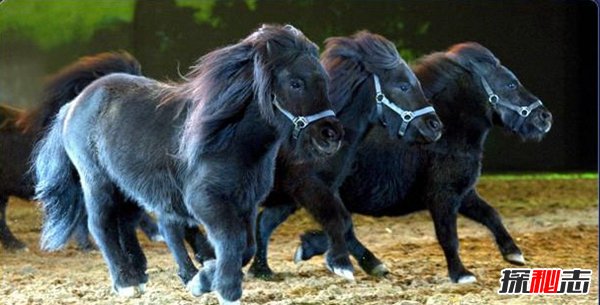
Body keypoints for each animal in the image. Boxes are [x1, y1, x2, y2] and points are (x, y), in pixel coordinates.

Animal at [34, 24, 342, 304]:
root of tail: (74, 103)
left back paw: (141, 275)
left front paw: (204, 278)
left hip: (128, 187)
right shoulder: (205, 200)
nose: (331, 135)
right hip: (97, 181)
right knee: (102, 225)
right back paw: (126, 282)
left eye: (324, 81)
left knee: (127, 224)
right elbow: (231, 241)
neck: (230, 141)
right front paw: (223, 289)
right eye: (295, 83)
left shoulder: (246, 203)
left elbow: (246, 247)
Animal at [292, 42, 552, 282]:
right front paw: (461, 274)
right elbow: (448, 236)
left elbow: (491, 214)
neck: (445, 134)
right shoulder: (443, 196)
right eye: (511, 83)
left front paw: (513, 253)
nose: (545, 117)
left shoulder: (463, 192)